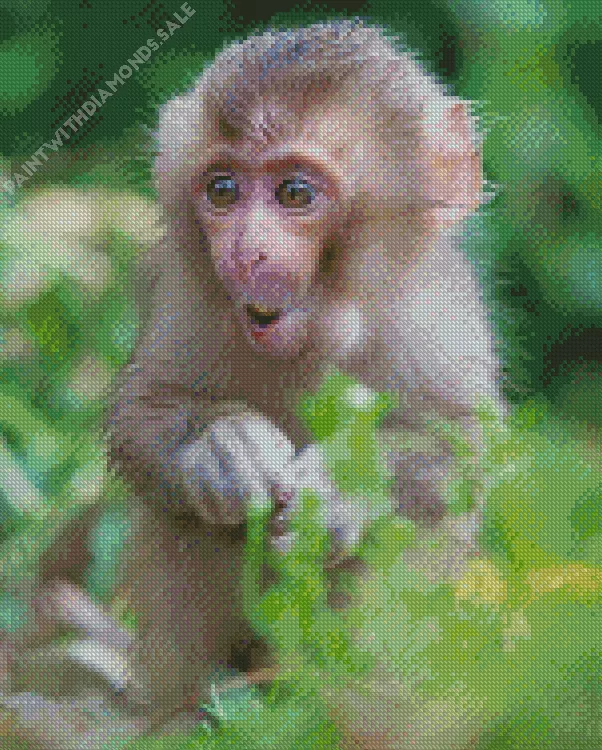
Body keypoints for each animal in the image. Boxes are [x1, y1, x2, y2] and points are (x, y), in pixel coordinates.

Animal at [0, 19, 504, 748]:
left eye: (295, 193)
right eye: (222, 190)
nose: (242, 249)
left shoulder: (438, 313)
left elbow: (459, 446)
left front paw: (340, 489)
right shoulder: (188, 293)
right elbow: (144, 414)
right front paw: (221, 448)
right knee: (189, 520)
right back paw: (177, 715)